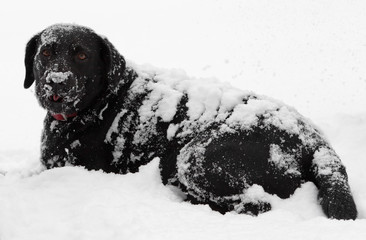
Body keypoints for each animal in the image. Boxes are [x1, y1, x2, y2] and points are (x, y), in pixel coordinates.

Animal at [25, 24, 358, 219]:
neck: (99, 102)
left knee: (257, 204)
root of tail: (315, 141)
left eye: (82, 56)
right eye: (46, 51)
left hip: (196, 156)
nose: (56, 81)